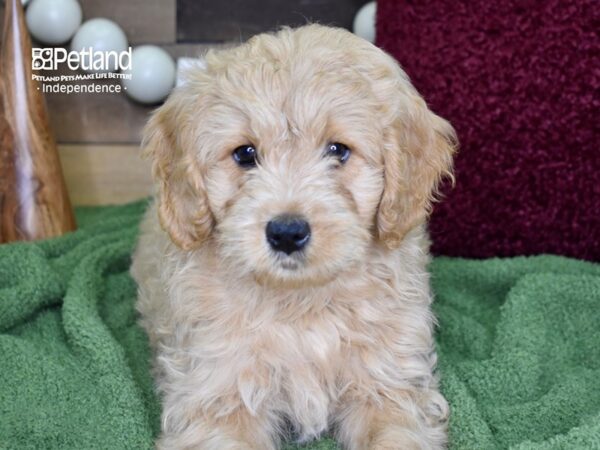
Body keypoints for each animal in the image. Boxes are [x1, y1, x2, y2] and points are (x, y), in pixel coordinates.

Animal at [131, 24, 458, 450]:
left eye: (338, 150)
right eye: (245, 154)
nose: (286, 233)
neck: (300, 303)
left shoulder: (389, 386)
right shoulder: (219, 395)